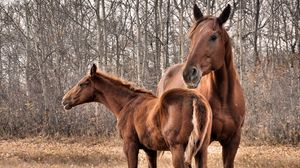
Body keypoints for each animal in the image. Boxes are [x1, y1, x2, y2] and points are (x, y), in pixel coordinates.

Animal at [62, 63, 212, 167]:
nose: (65, 100)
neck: (126, 104)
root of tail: (195, 99)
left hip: (178, 149)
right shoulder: (150, 150)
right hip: (201, 150)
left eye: (82, 84)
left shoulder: (130, 145)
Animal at [158, 4, 245, 168]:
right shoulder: (203, 144)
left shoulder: (232, 142)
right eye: (192, 37)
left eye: (213, 37)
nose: (188, 73)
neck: (224, 99)